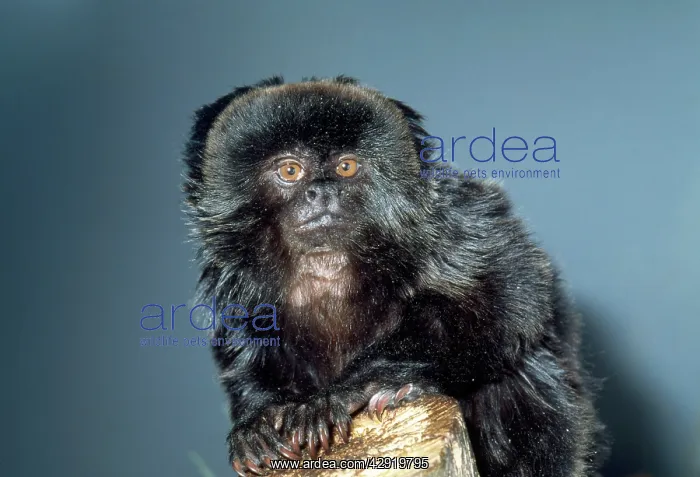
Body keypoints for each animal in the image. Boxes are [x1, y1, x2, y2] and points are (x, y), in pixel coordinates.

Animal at [182, 75, 608, 476]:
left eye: (346, 167)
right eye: (290, 170)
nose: (323, 192)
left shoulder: (449, 223)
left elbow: (513, 296)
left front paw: (353, 389)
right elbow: (245, 338)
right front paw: (258, 418)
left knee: (522, 370)